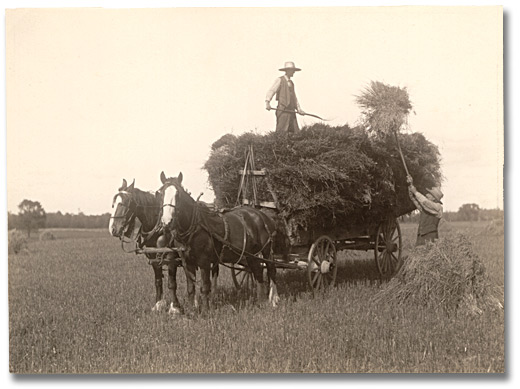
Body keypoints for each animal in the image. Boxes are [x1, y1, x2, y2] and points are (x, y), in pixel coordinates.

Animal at [106, 177, 184, 314]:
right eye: (114, 204)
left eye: (126, 203)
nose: (113, 229)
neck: (158, 229)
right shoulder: (154, 259)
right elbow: (158, 281)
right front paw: (158, 304)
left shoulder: (171, 259)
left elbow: (171, 283)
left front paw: (175, 307)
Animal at [158, 171, 280, 312]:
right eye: (160, 193)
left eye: (178, 195)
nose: (167, 221)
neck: (195, 227)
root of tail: (264, 216)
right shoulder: (187, 262)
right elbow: (191, 288)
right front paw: (192, 310)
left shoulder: (204, 261)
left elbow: (205, 287)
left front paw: (206, 311)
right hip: (252, 254)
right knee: (258, 272)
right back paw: (261, 301)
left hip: (265, 250)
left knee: (271, 269)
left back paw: (274, 299)